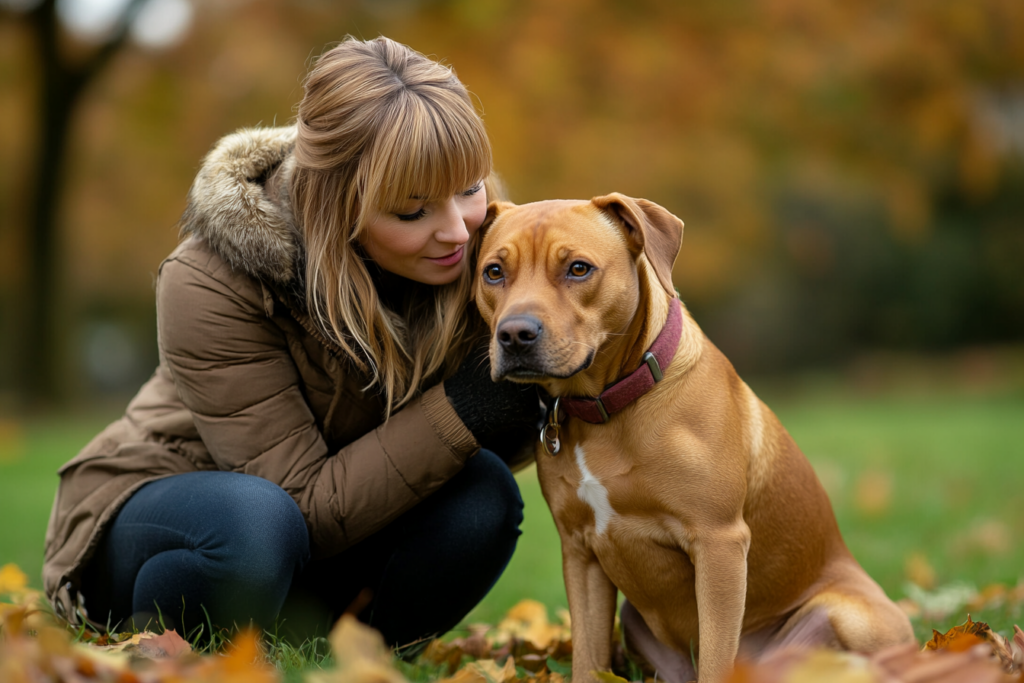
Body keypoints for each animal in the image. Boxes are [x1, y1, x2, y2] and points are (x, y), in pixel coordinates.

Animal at [471, 193, 913, 683]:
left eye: (579, 269)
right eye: (494, 272)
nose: (515, 334)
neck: (606, 407)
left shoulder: (719, 544)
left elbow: (718, 658)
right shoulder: (580, 553)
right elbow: (588, 659)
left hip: (852, 617)